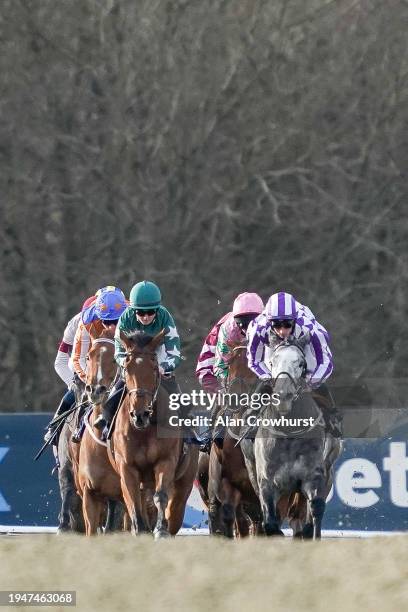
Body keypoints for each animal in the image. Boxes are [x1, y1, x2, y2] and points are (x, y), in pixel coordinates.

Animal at [108, 332, 198, 536]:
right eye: (127, 368)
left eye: (154, 368)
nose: (140, 414)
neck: (143, 430)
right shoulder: (127, 466)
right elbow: (133, 501)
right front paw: (140, 529)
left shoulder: (166, 460)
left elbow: (161, 495)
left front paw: (160, 529)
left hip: (184, 482)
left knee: (175, 510)